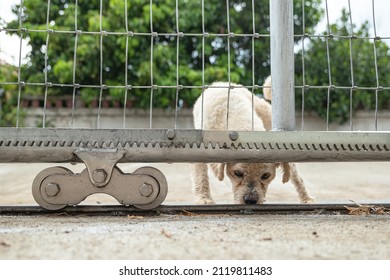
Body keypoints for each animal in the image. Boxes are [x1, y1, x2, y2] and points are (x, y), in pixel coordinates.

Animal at [190, 77, 312, 205]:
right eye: (238, 173)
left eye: (266, 175)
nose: (250, 200)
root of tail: (221, 83)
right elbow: (201, 177)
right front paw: (204, 199)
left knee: (297, 177)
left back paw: (306, 198)